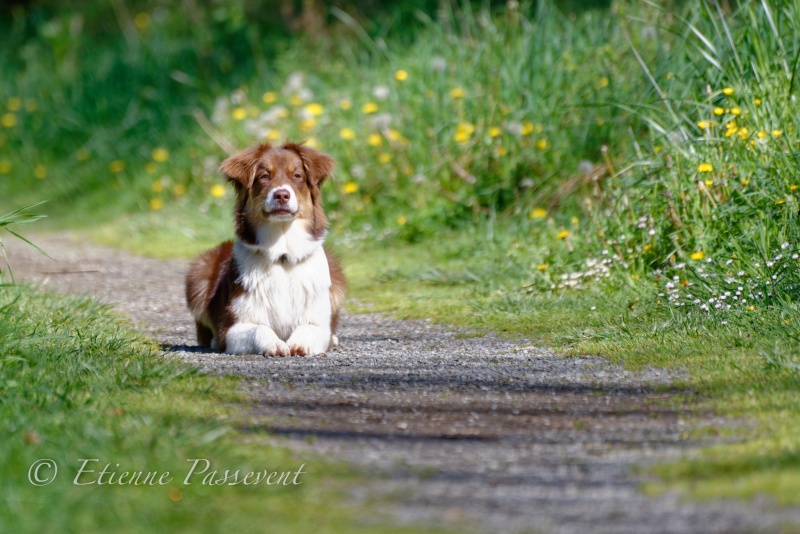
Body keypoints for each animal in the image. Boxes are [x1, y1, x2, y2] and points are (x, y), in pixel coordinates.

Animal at [186, 143, 346, 360]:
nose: (281, 195)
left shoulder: (319, 324)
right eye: (264, 176)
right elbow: (259, 329)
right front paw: (275, 344)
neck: (282, 256)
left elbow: (308, 329)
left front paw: (299, 344)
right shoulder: (231, 328)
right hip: (199, 274)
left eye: (297, 175)